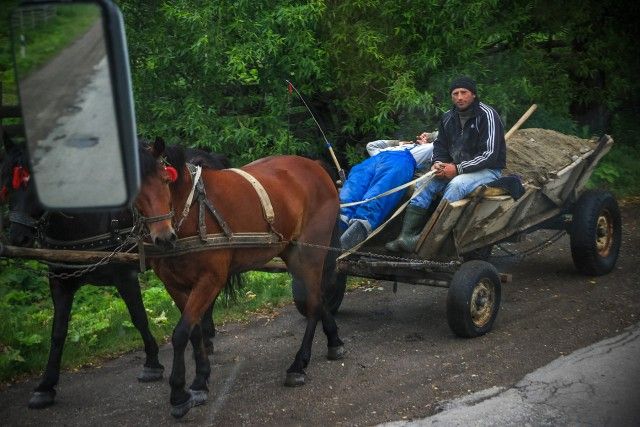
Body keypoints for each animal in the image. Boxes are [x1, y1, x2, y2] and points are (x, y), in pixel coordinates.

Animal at [0, 135, 229, 410]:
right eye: (8, 183)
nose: (18, 236)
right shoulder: (59, 281)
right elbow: (57, 333)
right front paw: (45, 386)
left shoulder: (124, 277)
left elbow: (138, 317)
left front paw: (152, 363)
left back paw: (207, 336)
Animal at [135, 140, 344, 418]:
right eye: (134, 192)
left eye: (165, 180)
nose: (163, 237)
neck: (192, 211)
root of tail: (315, 166)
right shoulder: (174, 285)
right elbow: (194, 331)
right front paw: (200, 381)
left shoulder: (211, 279)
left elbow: (180, 334)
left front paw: (179, 394)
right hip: (290, 251)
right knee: (316, 298)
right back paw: (334, 340)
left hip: (310, 251)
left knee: (311, 303)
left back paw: (298, 365)